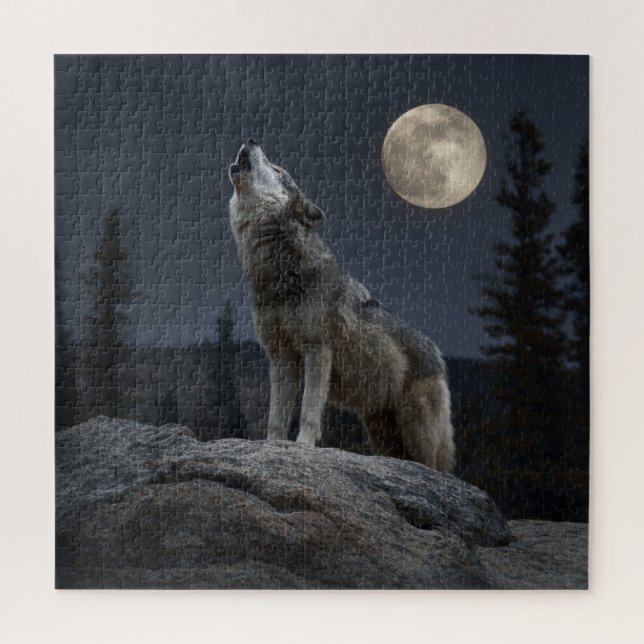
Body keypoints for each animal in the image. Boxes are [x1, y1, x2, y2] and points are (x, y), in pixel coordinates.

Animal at [228, 139, 455, 472]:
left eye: (277, 168)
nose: (252, 140)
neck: (278, 276)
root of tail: (439, 357)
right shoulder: (281, 357)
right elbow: (276, 417)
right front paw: (272, 447)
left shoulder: (317, 349)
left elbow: (308, 411)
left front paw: (303, 447)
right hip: (382, 432)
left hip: (416, 430)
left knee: (434, 468)